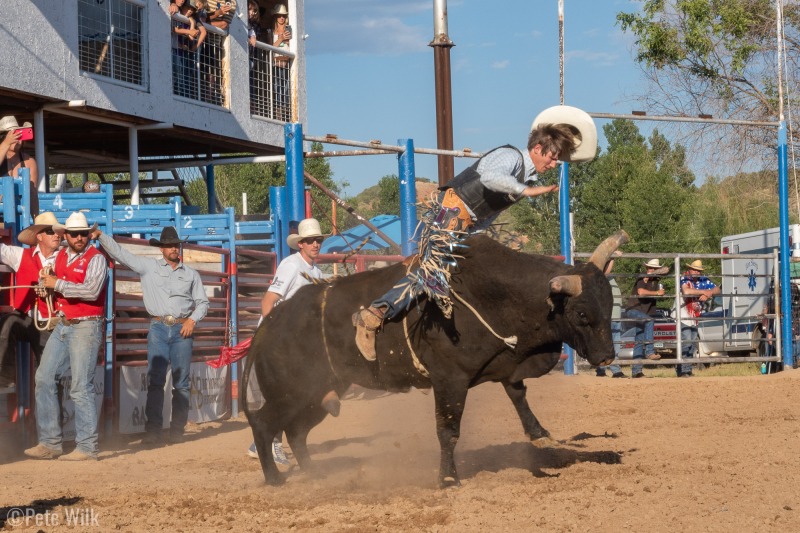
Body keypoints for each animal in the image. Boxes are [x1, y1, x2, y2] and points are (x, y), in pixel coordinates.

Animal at [241, 230, 628, 486]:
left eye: (609, 304)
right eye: (581, 313)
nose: (607, 357)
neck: (497, 294)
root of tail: (271, 322)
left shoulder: (506, 362)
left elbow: (518, 395)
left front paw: (540, 434)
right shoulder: (450, 380)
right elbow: (448, 431)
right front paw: (448, 478)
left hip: (318, 395)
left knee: (296, 432)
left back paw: (313, 473)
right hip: (290, 393)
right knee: (264, 424)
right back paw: (275, 478)